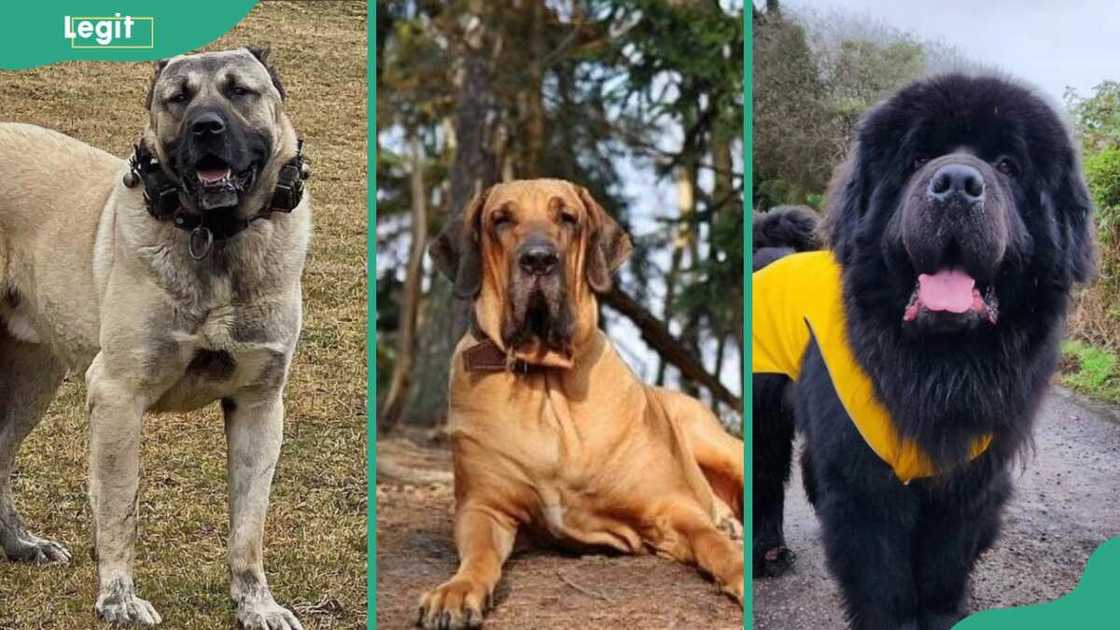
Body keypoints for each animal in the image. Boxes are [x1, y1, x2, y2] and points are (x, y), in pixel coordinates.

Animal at [421, 179, 743, 623]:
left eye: (567, 218)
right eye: (500, 219)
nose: (538, 260)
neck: (545, 379)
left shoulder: (672, 506)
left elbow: (711, 541)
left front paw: (738, 568)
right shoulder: (484, 508)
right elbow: (479, 554)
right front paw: (457, 589)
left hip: (713, 440)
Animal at [752, 74, 1093, 627]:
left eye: (1007, 165)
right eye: (916, 159)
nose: (955, 183)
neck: (940, 364)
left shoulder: (970, 479)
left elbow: (942, 570)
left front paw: (944, 613)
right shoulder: (867, 481)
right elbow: (883, 581)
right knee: (764, 475)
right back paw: (766, 554)